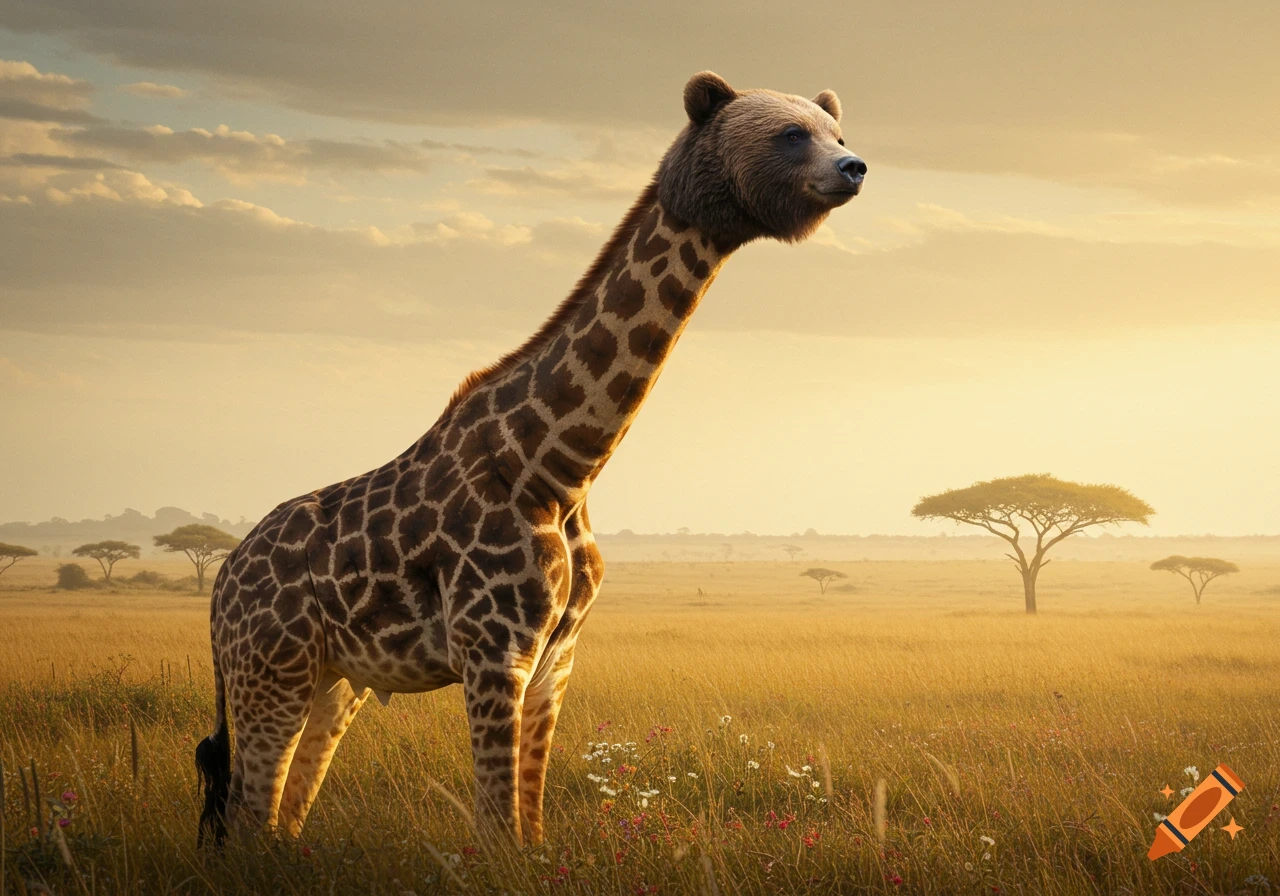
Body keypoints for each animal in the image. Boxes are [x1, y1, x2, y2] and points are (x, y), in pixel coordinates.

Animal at [195, 70, 866, 848]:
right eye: (790, 135)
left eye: (837, 134)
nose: (855, 168)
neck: (561, 467)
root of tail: (219, 588)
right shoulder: (493, 655)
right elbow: (496, 833)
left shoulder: (556, 659)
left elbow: (531, 828)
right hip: (267, 671)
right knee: (248, 814)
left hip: (331, 681)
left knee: (280, 815)